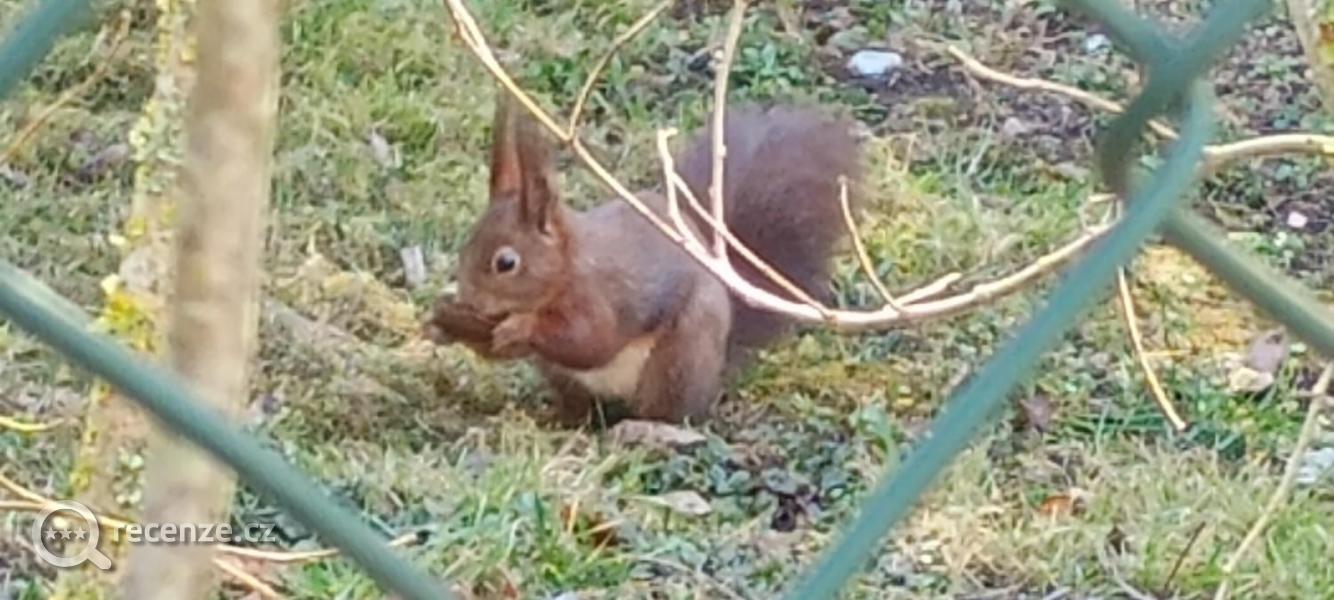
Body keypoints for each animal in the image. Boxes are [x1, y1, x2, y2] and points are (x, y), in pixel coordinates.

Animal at [424, 97, 862, 424]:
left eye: (506, 263)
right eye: (466, 244)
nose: (467, 300)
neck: (565, 270)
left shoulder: (598, 297)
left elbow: (590, 340)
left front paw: (519, 326)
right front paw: (443, 326)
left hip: (677, 361)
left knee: (666, 411)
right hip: (564, 378)